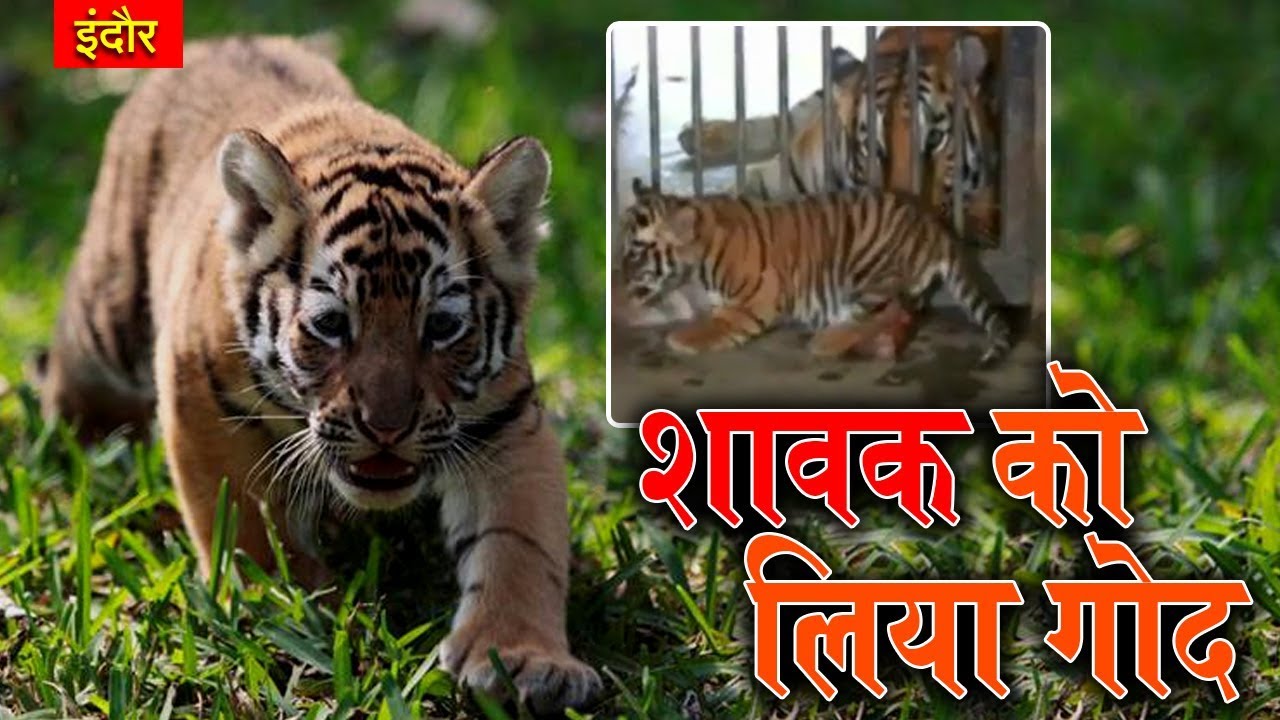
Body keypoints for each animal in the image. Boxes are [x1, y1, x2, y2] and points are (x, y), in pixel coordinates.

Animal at [33, 35, 600, 712]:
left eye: (441, 326)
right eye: (331, 324)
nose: (387, 428)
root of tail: (219, 42)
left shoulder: (507, 422)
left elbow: (520, 543)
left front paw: (522, 660)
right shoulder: (201, 394)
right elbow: (245, 520)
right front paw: (287, 604)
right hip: (107, 312)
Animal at [620, 178, 1011, 367]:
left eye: (635, 251)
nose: (618, 279)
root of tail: (935, 225)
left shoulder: (752, 301)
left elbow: (719, 324)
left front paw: (682, 338)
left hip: (867, 267)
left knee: (886, 311)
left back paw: (827, 341)